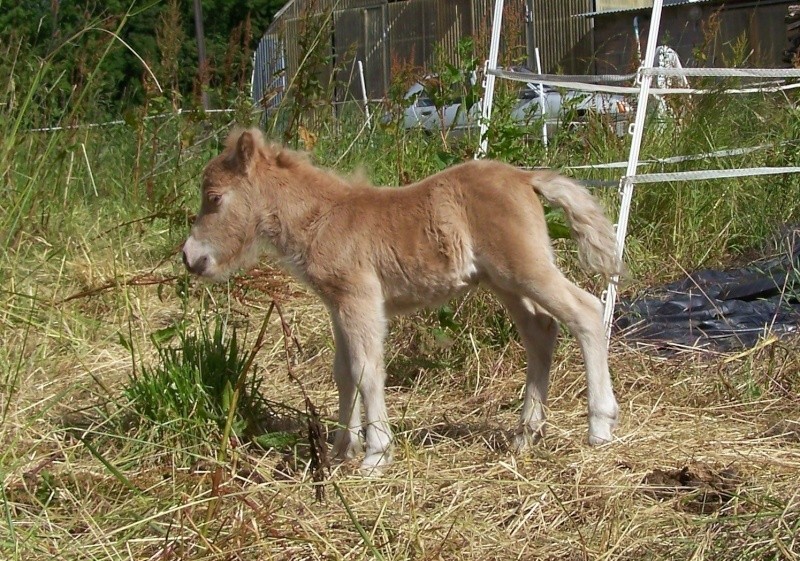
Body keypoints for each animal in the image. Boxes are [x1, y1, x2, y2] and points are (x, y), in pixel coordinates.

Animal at [183, 126, 624, 468]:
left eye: (215, 197)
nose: (190, 257)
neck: (323, 219)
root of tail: (524, 176)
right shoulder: (338, 304)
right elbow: (343, 373)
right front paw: (342, 449)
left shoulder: (360, 299)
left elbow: (366, 371)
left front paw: (376, 454)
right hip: (504, 282)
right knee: (540, 333)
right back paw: (526, 433)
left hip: (524, 268)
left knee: (586, 311)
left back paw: (599, 426)